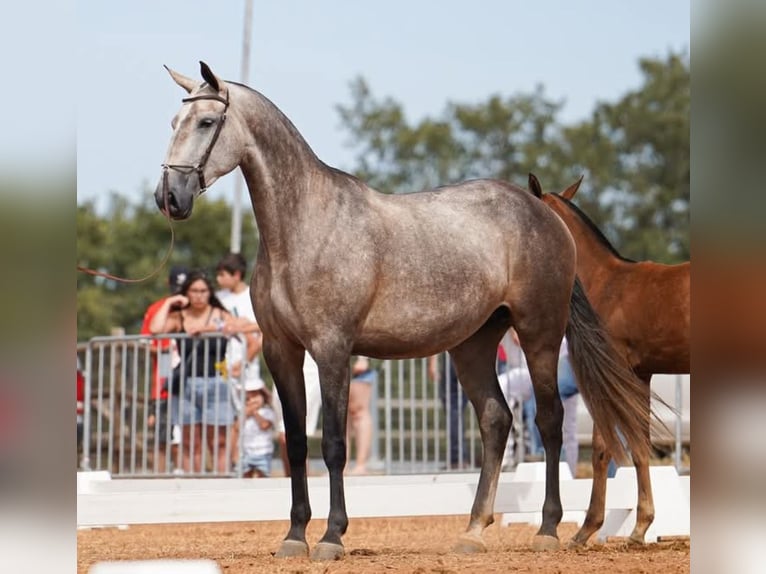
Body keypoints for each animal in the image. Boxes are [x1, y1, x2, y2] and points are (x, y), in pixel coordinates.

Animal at [154, 61, 650, 561]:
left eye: (207, 122)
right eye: (173, 123)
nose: (168, 198)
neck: (305, 228)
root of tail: (547, 216)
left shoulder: (332, 349)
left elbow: (333, 444)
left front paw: (332, 537)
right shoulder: (281, 350)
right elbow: (295, 445)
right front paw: (294, 536)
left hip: (539, 335)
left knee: (549, 422)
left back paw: (547, 529)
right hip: (473, 344)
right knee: (496, 421)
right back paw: (473, 531)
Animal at [528, 173, 690, 546]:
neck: (606, 284)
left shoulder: (610, 377)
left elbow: (604, 450)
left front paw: (587, 528)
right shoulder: (638, 376)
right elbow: (640, 445)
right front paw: (641, 526)